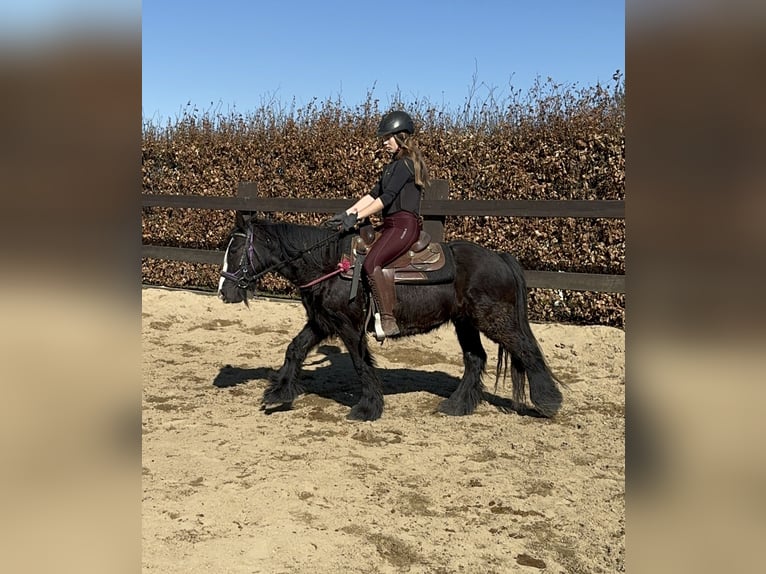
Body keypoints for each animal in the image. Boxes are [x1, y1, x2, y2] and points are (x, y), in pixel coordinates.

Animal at [218, 214, 564, 420]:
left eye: (234, 251)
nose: (224, 291)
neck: (329, 265)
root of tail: (501, 258)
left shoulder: (348, 326)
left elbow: (360, 364)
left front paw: (367, 408)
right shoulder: (322, 321)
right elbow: (295, 349)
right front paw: (277, 393)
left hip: (494, 320)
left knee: (527, 350)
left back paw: (548, 402)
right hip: (465, 323)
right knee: (475, 359)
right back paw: (457, 405)